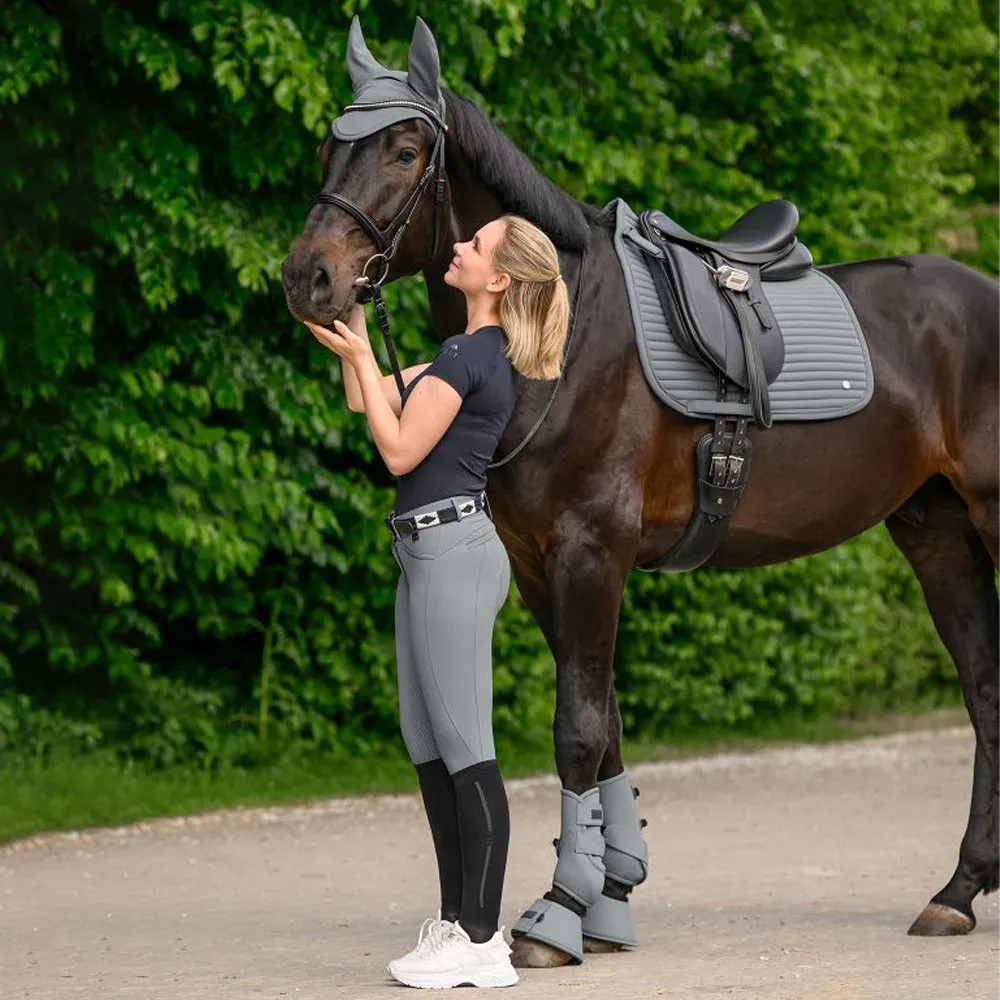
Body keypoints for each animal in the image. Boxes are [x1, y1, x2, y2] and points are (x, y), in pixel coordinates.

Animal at [281, 26, 999, 969]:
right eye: (327, 150)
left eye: (404, 150)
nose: (308, 280)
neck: (562, 333)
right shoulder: (540, 564)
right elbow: (606, 723)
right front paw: (611, 894)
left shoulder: (593, 551)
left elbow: (578, 730)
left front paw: (557, 914)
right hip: (937, 532)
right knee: (984, 690)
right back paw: (958, 892)